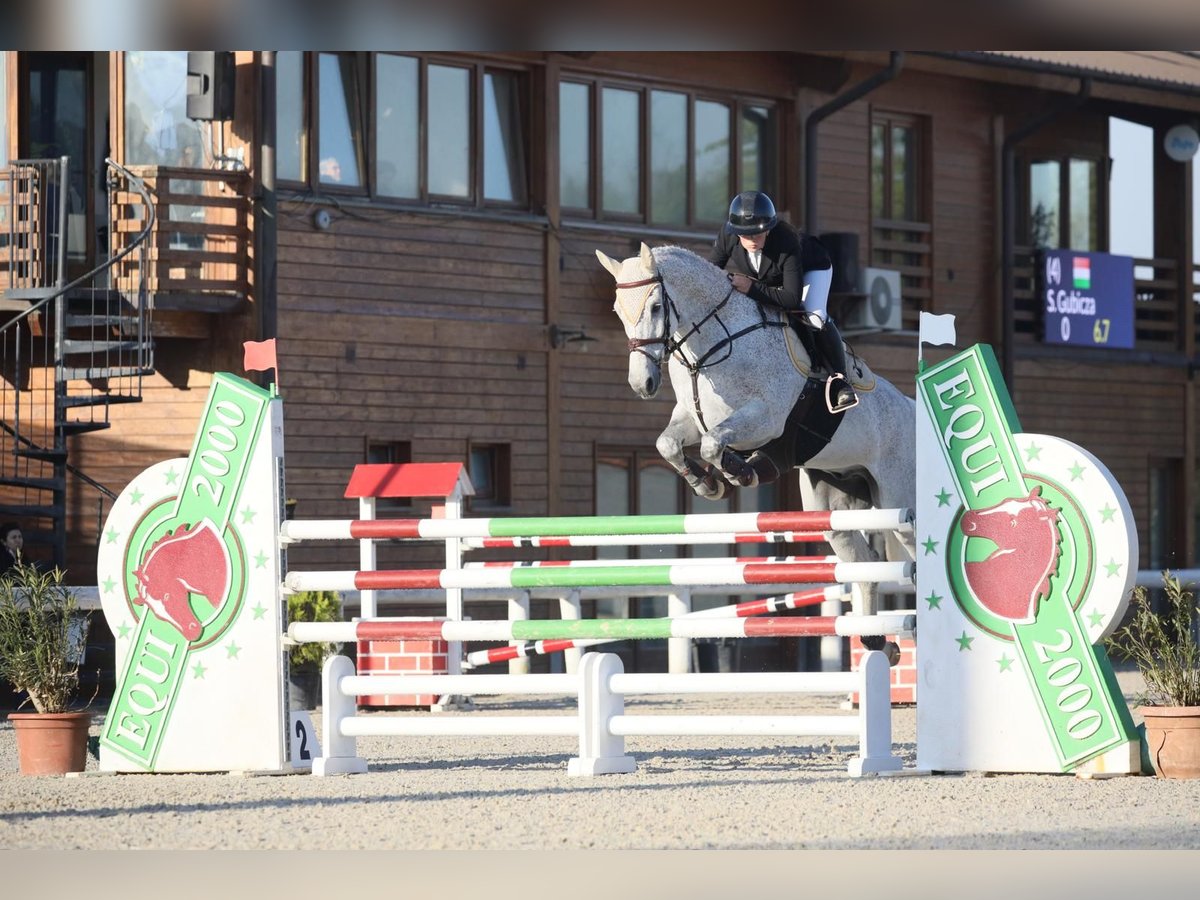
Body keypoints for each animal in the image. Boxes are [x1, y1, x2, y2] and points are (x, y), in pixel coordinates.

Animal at [596, 243, 916, 657]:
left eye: (654, 307)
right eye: (618, 310)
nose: (642, 384)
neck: (710, 346)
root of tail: (911, 408)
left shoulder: (765, 419)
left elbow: (716, 445)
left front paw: (744, 470)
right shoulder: (692, 418)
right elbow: (668, 443)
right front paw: (707, 484)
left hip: (900, 502)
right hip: (834, 506)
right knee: (865, 564)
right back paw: (879, 643)